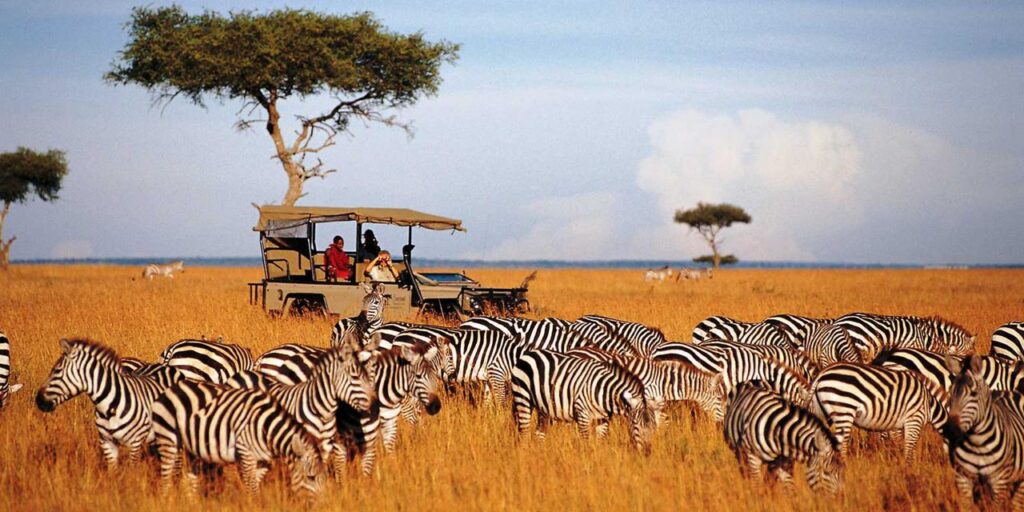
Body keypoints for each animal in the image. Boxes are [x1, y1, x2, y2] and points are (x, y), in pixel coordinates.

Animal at [35, 337, 184, 468]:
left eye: (56, 371)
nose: (38, 401)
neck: (109, 407)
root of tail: (166, 365)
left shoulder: (135, 442)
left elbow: (133, 470)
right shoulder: (107, 442)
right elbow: (112, 472)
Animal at [146, 380, 323, 495]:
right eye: (311, 477)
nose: (323, 505)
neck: (266, 428)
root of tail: (170, 389)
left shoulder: (262, 462)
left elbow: (253, 486)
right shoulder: (245, 453)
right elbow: (252, 489)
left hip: (191, 448)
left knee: (190, 480)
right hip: (167, 438)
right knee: (165, 479)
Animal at [509, 350, 659, 454]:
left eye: (653, 426)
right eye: (635, 424)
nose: (647, 452)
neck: (603, 391)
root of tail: (528, 354)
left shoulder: (602, 419)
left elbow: (600, 442)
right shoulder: (583, 416)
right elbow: (586, 443)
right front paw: (586, 463)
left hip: (543, 407)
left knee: (539, 433)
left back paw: (540, 454)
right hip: (523, 398)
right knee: (524, 433)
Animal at [811, 360, 946, 464]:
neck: (930, 404)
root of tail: (821, 373)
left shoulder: (897, 423)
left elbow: (899, 443)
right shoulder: (914, 419)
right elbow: (909, 447)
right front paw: (908, 468)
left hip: (822, 412)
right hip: (844, 410)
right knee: (841, 443)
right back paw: (845, 465)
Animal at [937, 356, 1024, 507]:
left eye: (974, 394)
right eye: (950, 393)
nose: (950, 431)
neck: (977, 442)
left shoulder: (999, 482)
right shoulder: (963, 479)